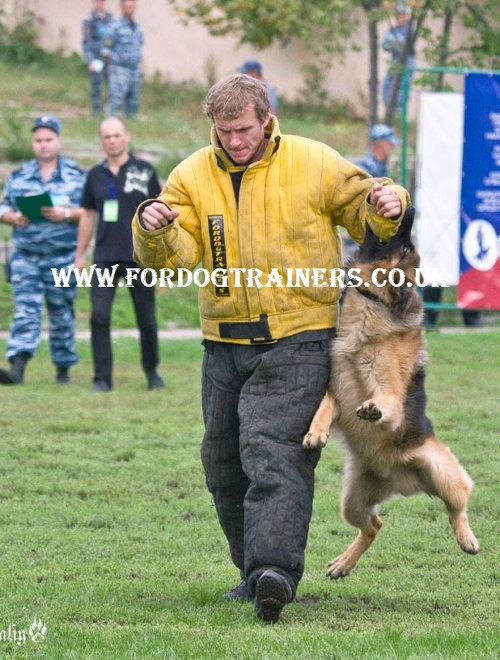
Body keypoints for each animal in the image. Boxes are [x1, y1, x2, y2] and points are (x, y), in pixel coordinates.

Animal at [302, 206, 478, 576]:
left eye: (406, 244)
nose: (409, 208)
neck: (372, 303)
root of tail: (399, 478)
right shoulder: (337, 389)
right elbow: (324, 405)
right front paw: (316, 432)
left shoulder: (391, 393)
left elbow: (387, 402)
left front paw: (373, 409)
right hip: (352, 501)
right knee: (373, 525)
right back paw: (343, 564)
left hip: (443, 474)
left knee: (457, 507)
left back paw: (467, 539)